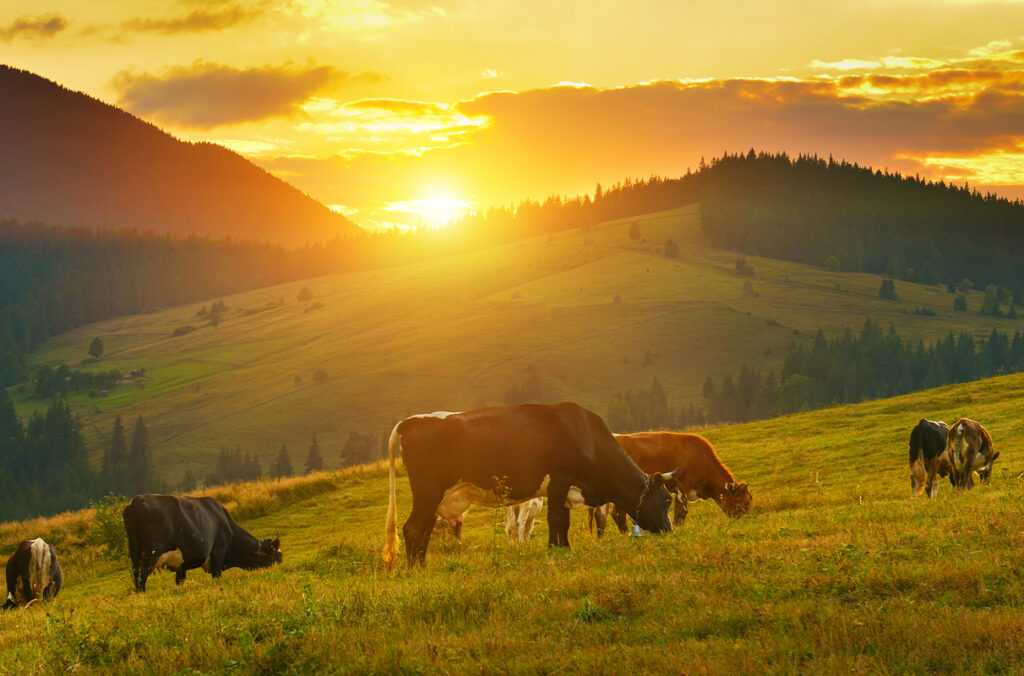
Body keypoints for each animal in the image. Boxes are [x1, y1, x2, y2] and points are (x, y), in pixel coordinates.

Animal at [123, 494, 282, 592]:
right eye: (275, 556)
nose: (279, 569)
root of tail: (138, 500)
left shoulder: (182, 564)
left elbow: (180, 581)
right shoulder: (218, 551)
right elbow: (217, 576)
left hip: (135, 553)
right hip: (151, 552)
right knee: (142, 576)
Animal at [381, 403, 675, 569]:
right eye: (667, 500)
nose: (670, 530)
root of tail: (414, 420)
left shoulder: (563, 489)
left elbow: (563, 521)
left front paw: (565, 548)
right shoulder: (559, 478)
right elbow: (557, 520)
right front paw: (556, 550)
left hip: (435, 497)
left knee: (423, 529)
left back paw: (421, 564)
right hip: (429, 491)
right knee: (412, 528)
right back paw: (415, 569)